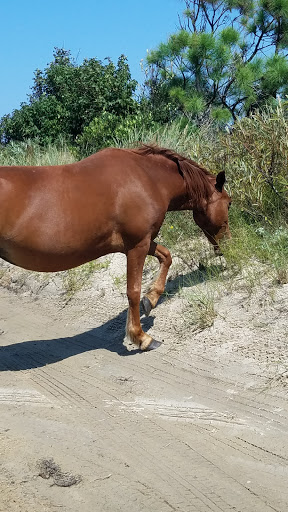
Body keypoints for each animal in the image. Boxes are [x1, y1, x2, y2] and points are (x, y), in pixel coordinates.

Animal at [0, 146, 232, 350]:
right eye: (229, 203)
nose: (227, 246)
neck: (148, 178)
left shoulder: (139, 242)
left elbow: (166, 256)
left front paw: (151, 300)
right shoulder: (138, 245)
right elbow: (133, 291)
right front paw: (141, 337)